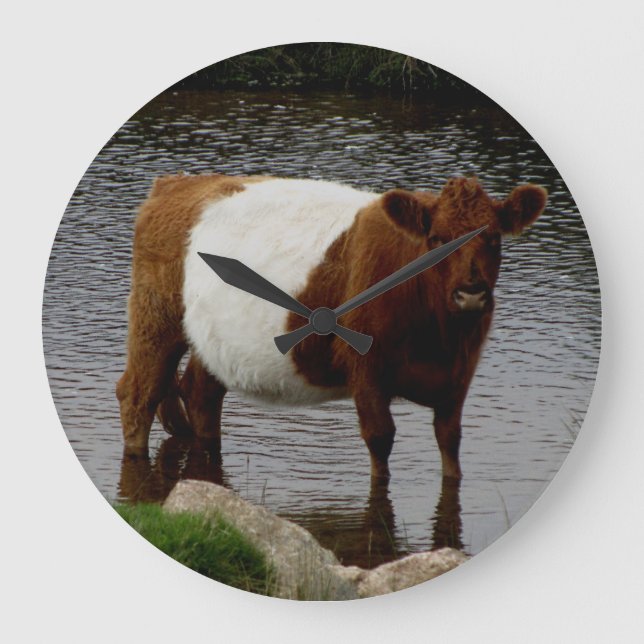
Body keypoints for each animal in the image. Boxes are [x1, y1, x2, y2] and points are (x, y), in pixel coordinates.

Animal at [116, 174, 546, 480]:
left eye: (494, 239)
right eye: (437, 239)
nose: (470, 294)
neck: (438, 340)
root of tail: (178, 182)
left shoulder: (460, 374)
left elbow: (450, 444)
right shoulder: (367, 370)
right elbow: (380, 443)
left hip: (212, 338)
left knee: (200, 393)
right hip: (156, 315)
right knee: (139, 392)